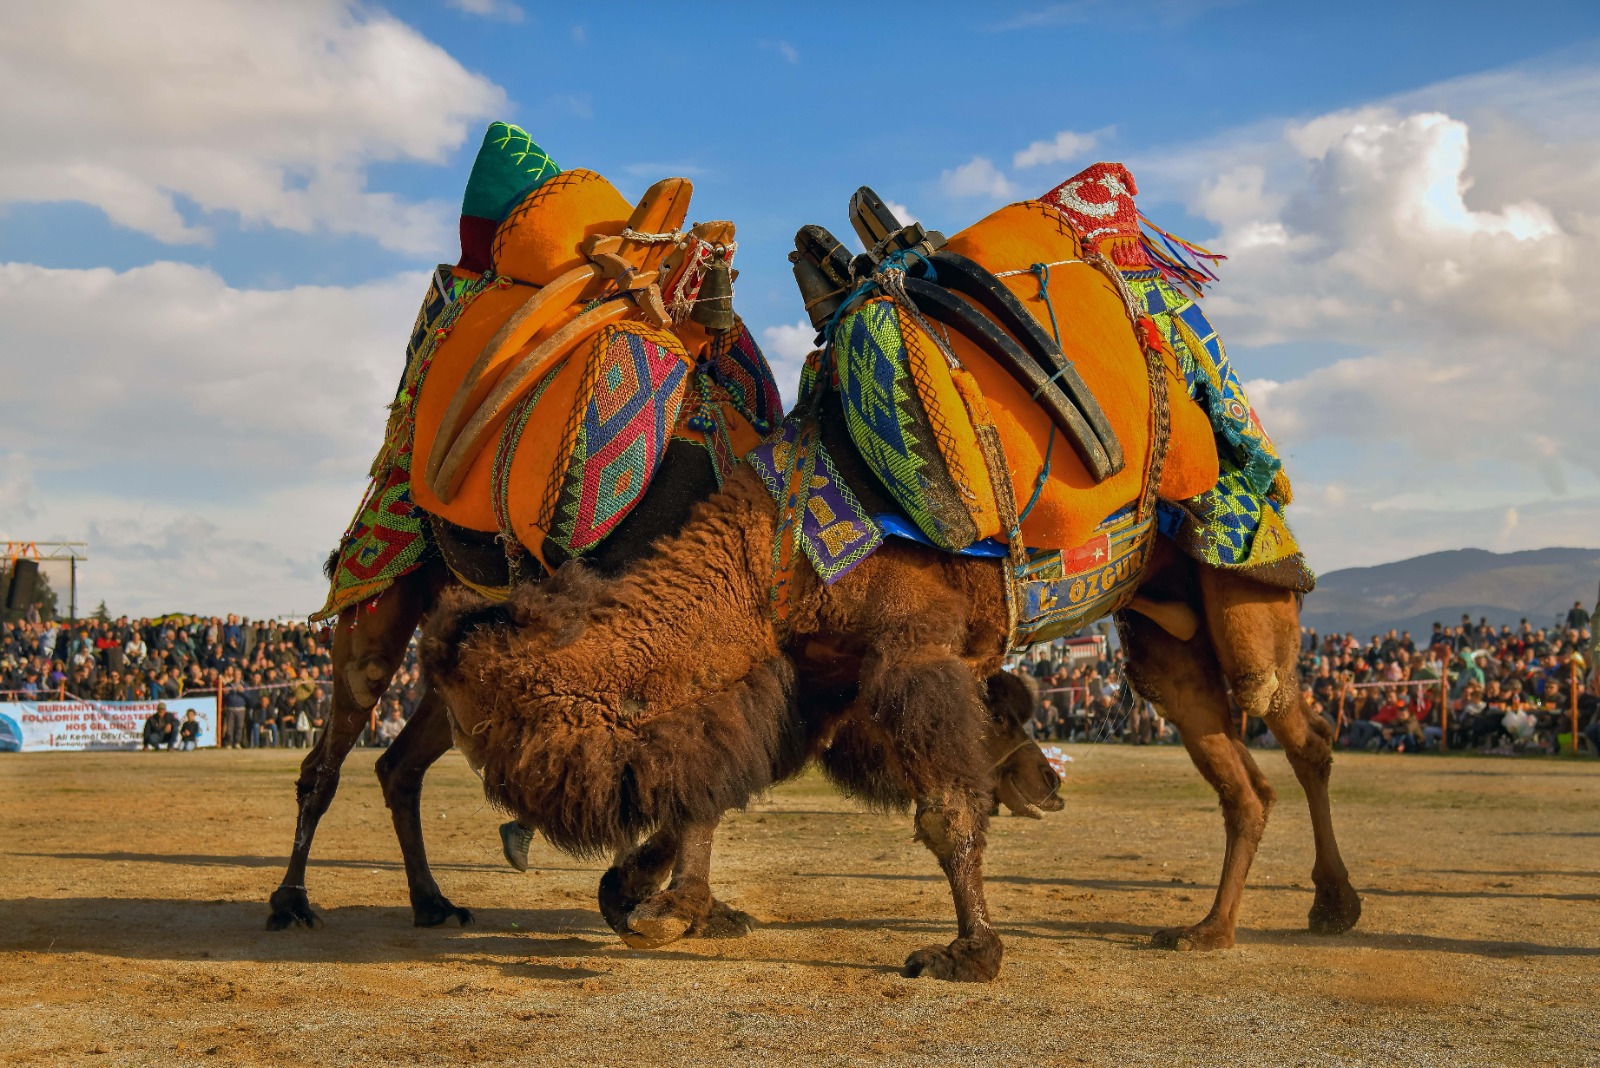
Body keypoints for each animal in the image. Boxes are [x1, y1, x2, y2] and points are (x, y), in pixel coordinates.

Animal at [425, 168, 1363, 984]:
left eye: (490, 726)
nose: (504, 813)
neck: (778, 550)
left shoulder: (914, 654)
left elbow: (945, 812)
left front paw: (967, 955)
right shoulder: (823, 674)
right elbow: (727, 785)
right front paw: (656, 904)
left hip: (1241, 578)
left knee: (1297, 722)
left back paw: (1332, 905)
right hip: (1162, 635)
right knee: (1241, 780)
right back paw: (1210, 928)